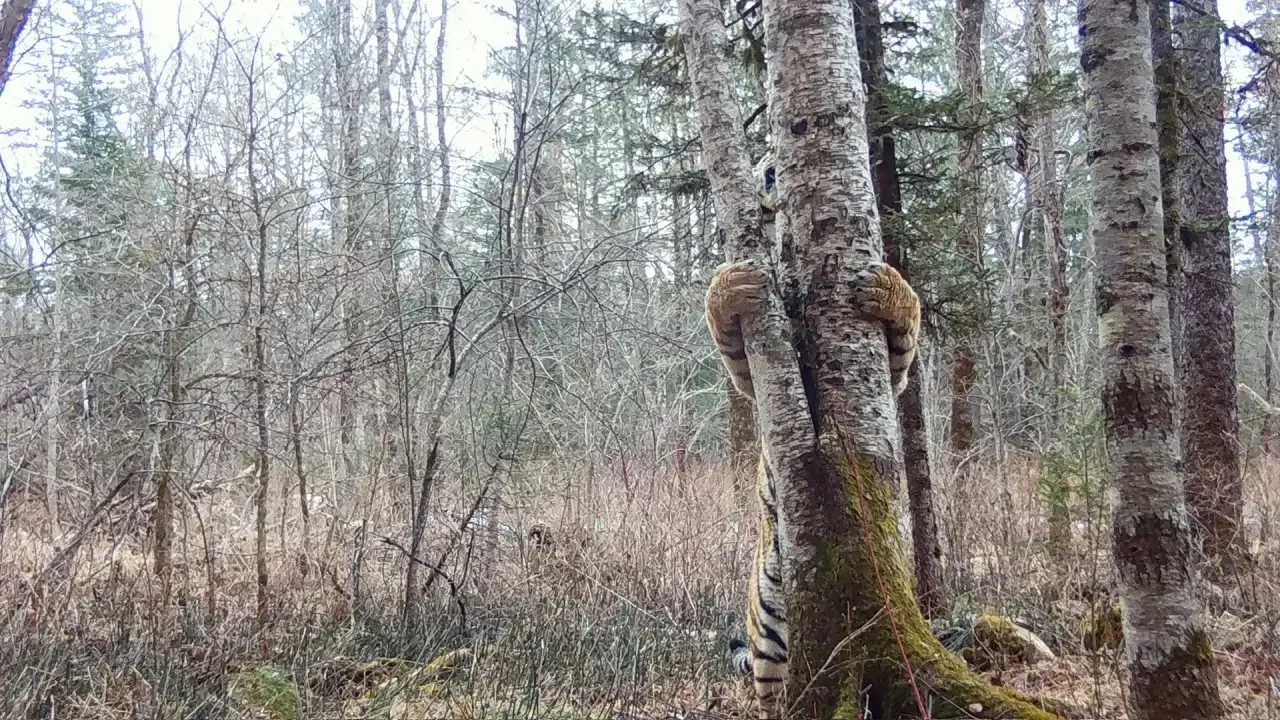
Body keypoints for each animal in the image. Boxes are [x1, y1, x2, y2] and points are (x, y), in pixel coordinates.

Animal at [706, 160, 921, 720]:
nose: (770, 169)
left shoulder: (891, 377)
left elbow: (905, 336)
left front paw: (887, 286)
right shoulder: (757, 373)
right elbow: (731, 339)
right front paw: (732, 283)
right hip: (768, 630)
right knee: (775, 694)